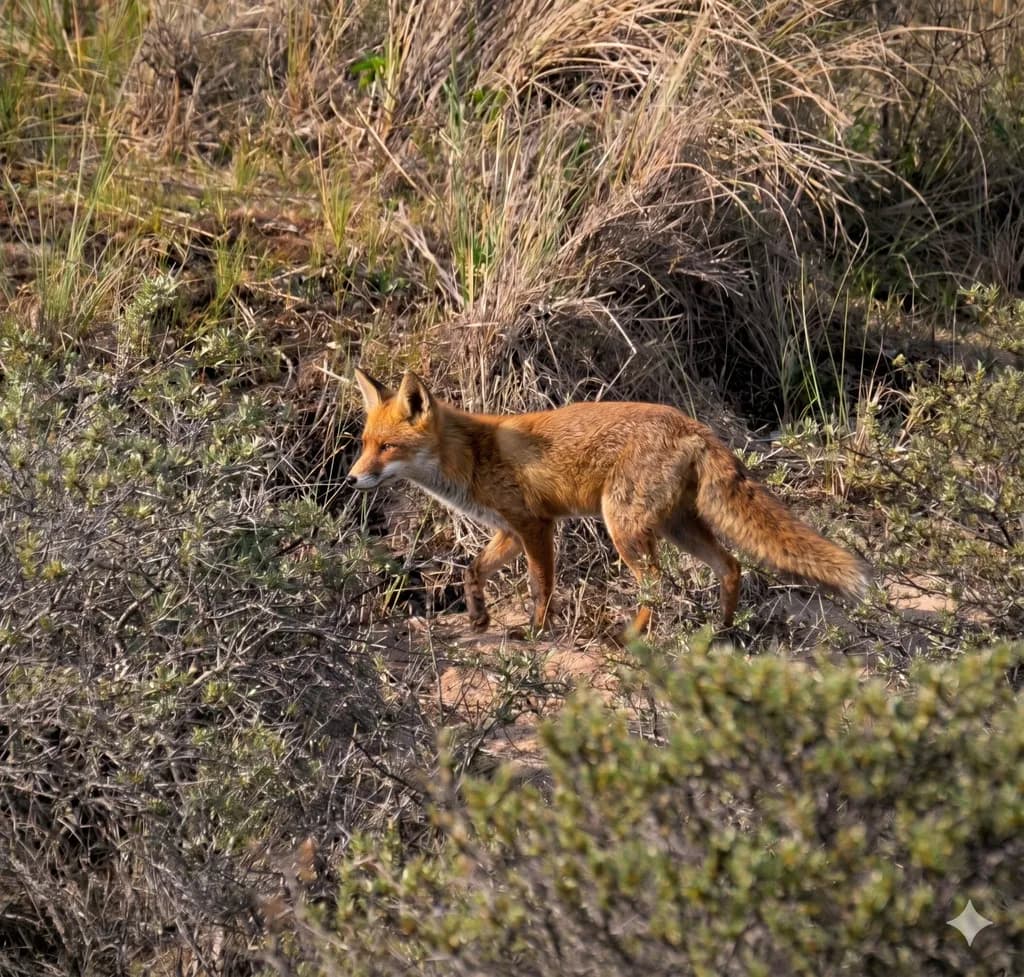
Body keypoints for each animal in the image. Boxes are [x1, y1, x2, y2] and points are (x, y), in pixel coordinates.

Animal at [346, 368, 870, 639]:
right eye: (365, 444)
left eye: (388, 448)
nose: (352, 479)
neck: (473, 456)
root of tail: (694, 425)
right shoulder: (509, 530)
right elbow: (472, 570)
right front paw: (479, 618)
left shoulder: (536, 526)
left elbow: (541, 586)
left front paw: (535, 631)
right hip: (678, 527)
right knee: (731, 566)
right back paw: (720, 631)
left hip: (624, 528)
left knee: (656, 584)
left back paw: (630, 636)